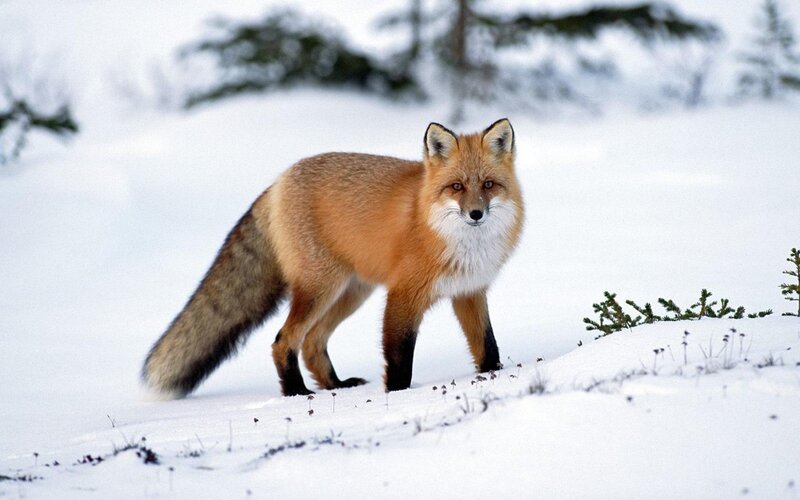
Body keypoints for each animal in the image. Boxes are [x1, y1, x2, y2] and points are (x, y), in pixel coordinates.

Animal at [142, 118, 524, 397]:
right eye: (456, 187)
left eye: (488, 185)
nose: (476, 214)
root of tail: (278, 181)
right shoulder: (403, 295)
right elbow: (399, 358)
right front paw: (398, 396)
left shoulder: (469, 292)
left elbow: (488, 346)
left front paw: (495, 376)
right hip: (320, 288)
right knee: (284, 340)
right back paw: (296, 392)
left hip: (351, 292)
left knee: (312, 342)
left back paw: (335, 385)